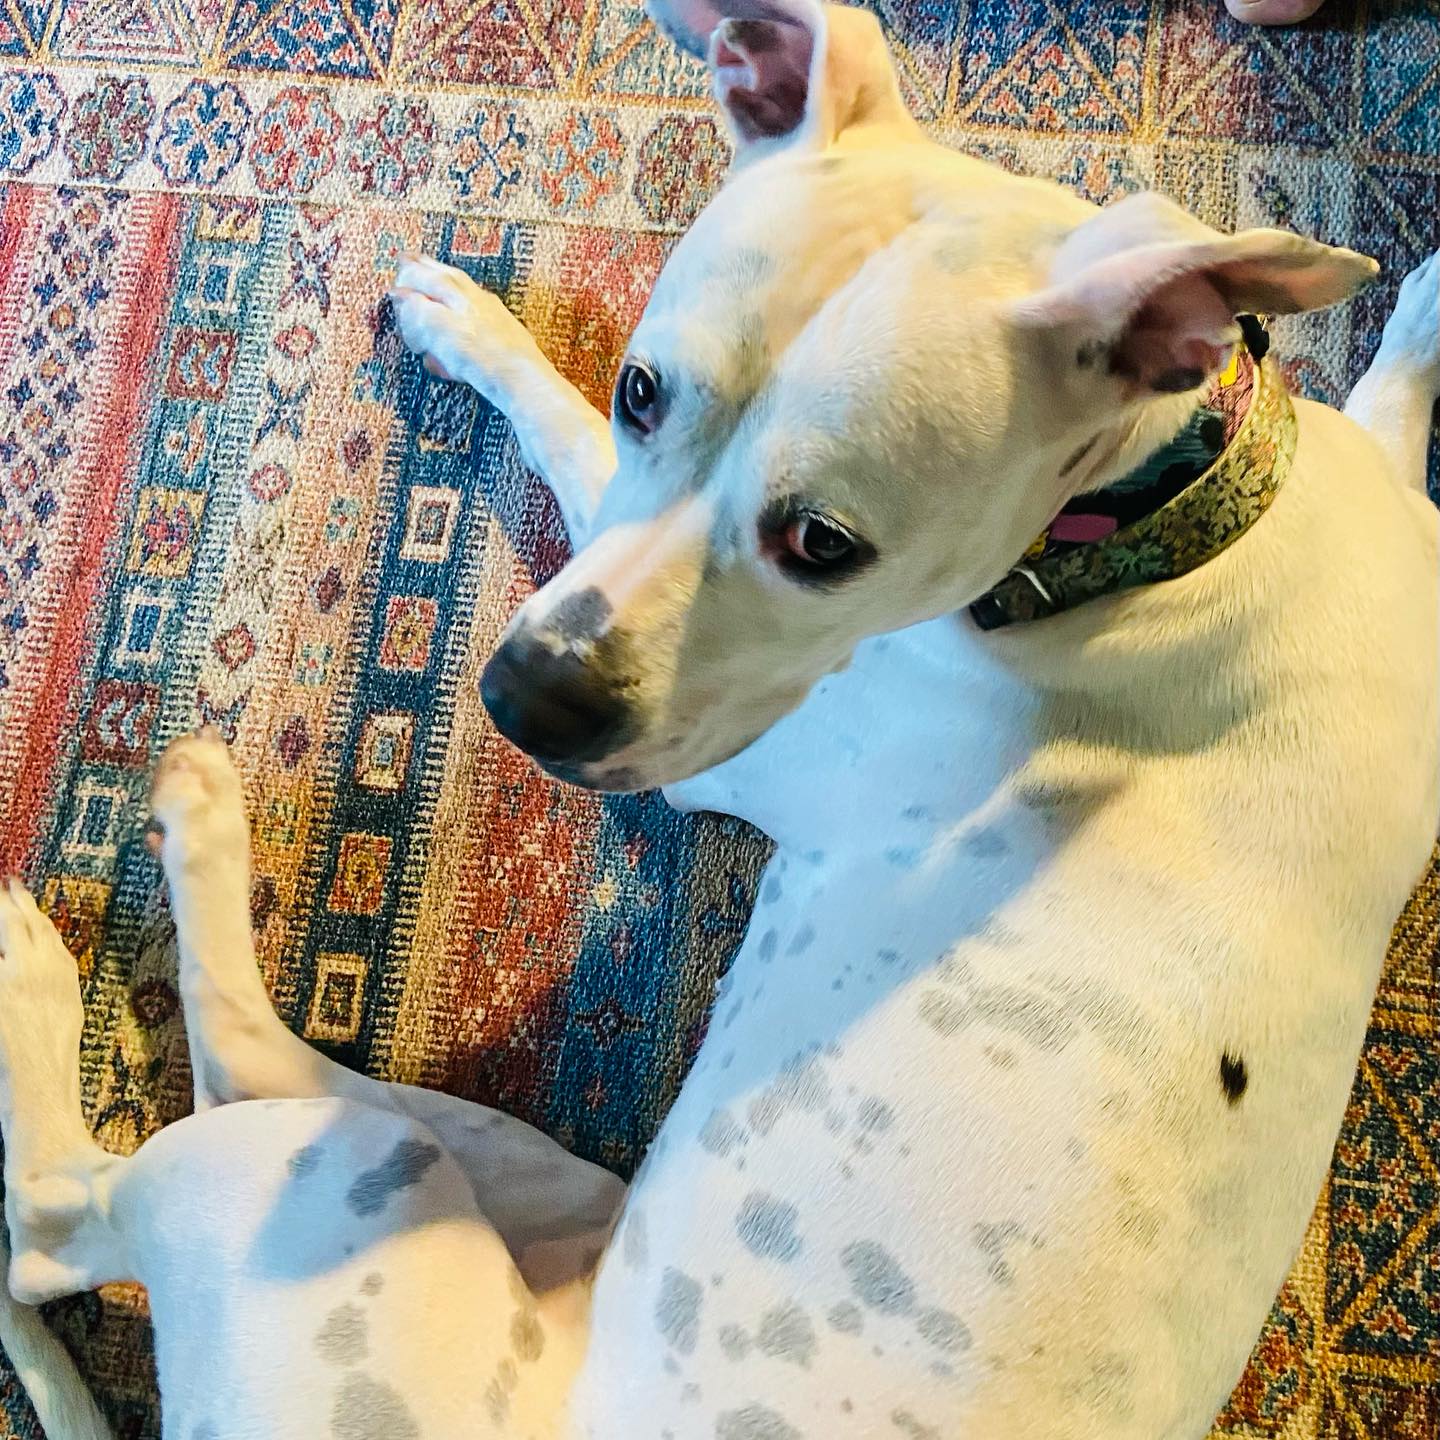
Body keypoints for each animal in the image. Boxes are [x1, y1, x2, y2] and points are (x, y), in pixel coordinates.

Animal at [2, 2, 1440, 1440]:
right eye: (644, 387)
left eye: (824, 544)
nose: (524, 699)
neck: (1167, 526)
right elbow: (1396, 395)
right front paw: (1426, 301)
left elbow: (567, 451)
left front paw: (481, 339)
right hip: (534, 1176)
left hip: (345, 1170)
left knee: (91, 1185)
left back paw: (107, 890)